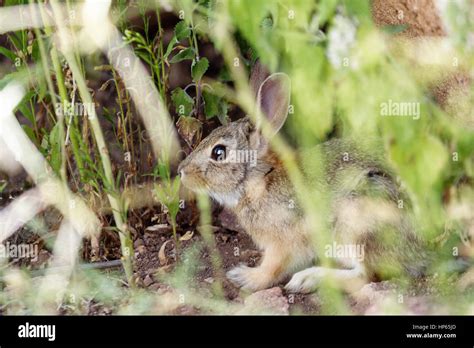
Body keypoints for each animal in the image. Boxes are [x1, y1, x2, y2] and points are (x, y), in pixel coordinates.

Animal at [178, 61, 430, 292]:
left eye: (218, 152)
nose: (181, 171)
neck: (260, 179)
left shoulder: (283, 243)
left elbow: (273, 267)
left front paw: (246, 278)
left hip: (357, 227)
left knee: (366, 275)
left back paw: (307, 279)